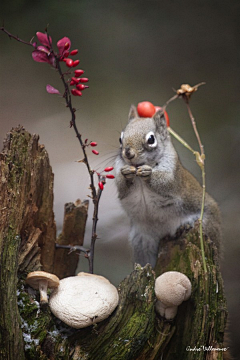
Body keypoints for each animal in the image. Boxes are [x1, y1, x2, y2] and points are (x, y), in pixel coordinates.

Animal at [115, 104, 221, 268]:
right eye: (121, 138)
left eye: (151, 139)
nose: (128, 153)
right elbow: (122, 188)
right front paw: (127, 174)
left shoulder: (173, 173)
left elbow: (166, 182)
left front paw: (148, 174)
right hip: (141, 243)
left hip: (206, 226)